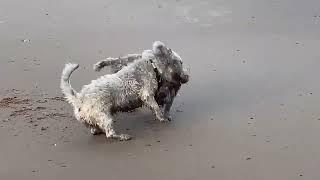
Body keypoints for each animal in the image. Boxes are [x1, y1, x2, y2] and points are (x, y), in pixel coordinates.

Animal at [61, 41, 189, 141]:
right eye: (181, 62)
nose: (187, 76)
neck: (154, 67)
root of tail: (79, 98)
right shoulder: (147, 94)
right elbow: (156, 107)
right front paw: (162, 117)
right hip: (105, 116)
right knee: (110, 133)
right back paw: (123, 136)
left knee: (95, 129)